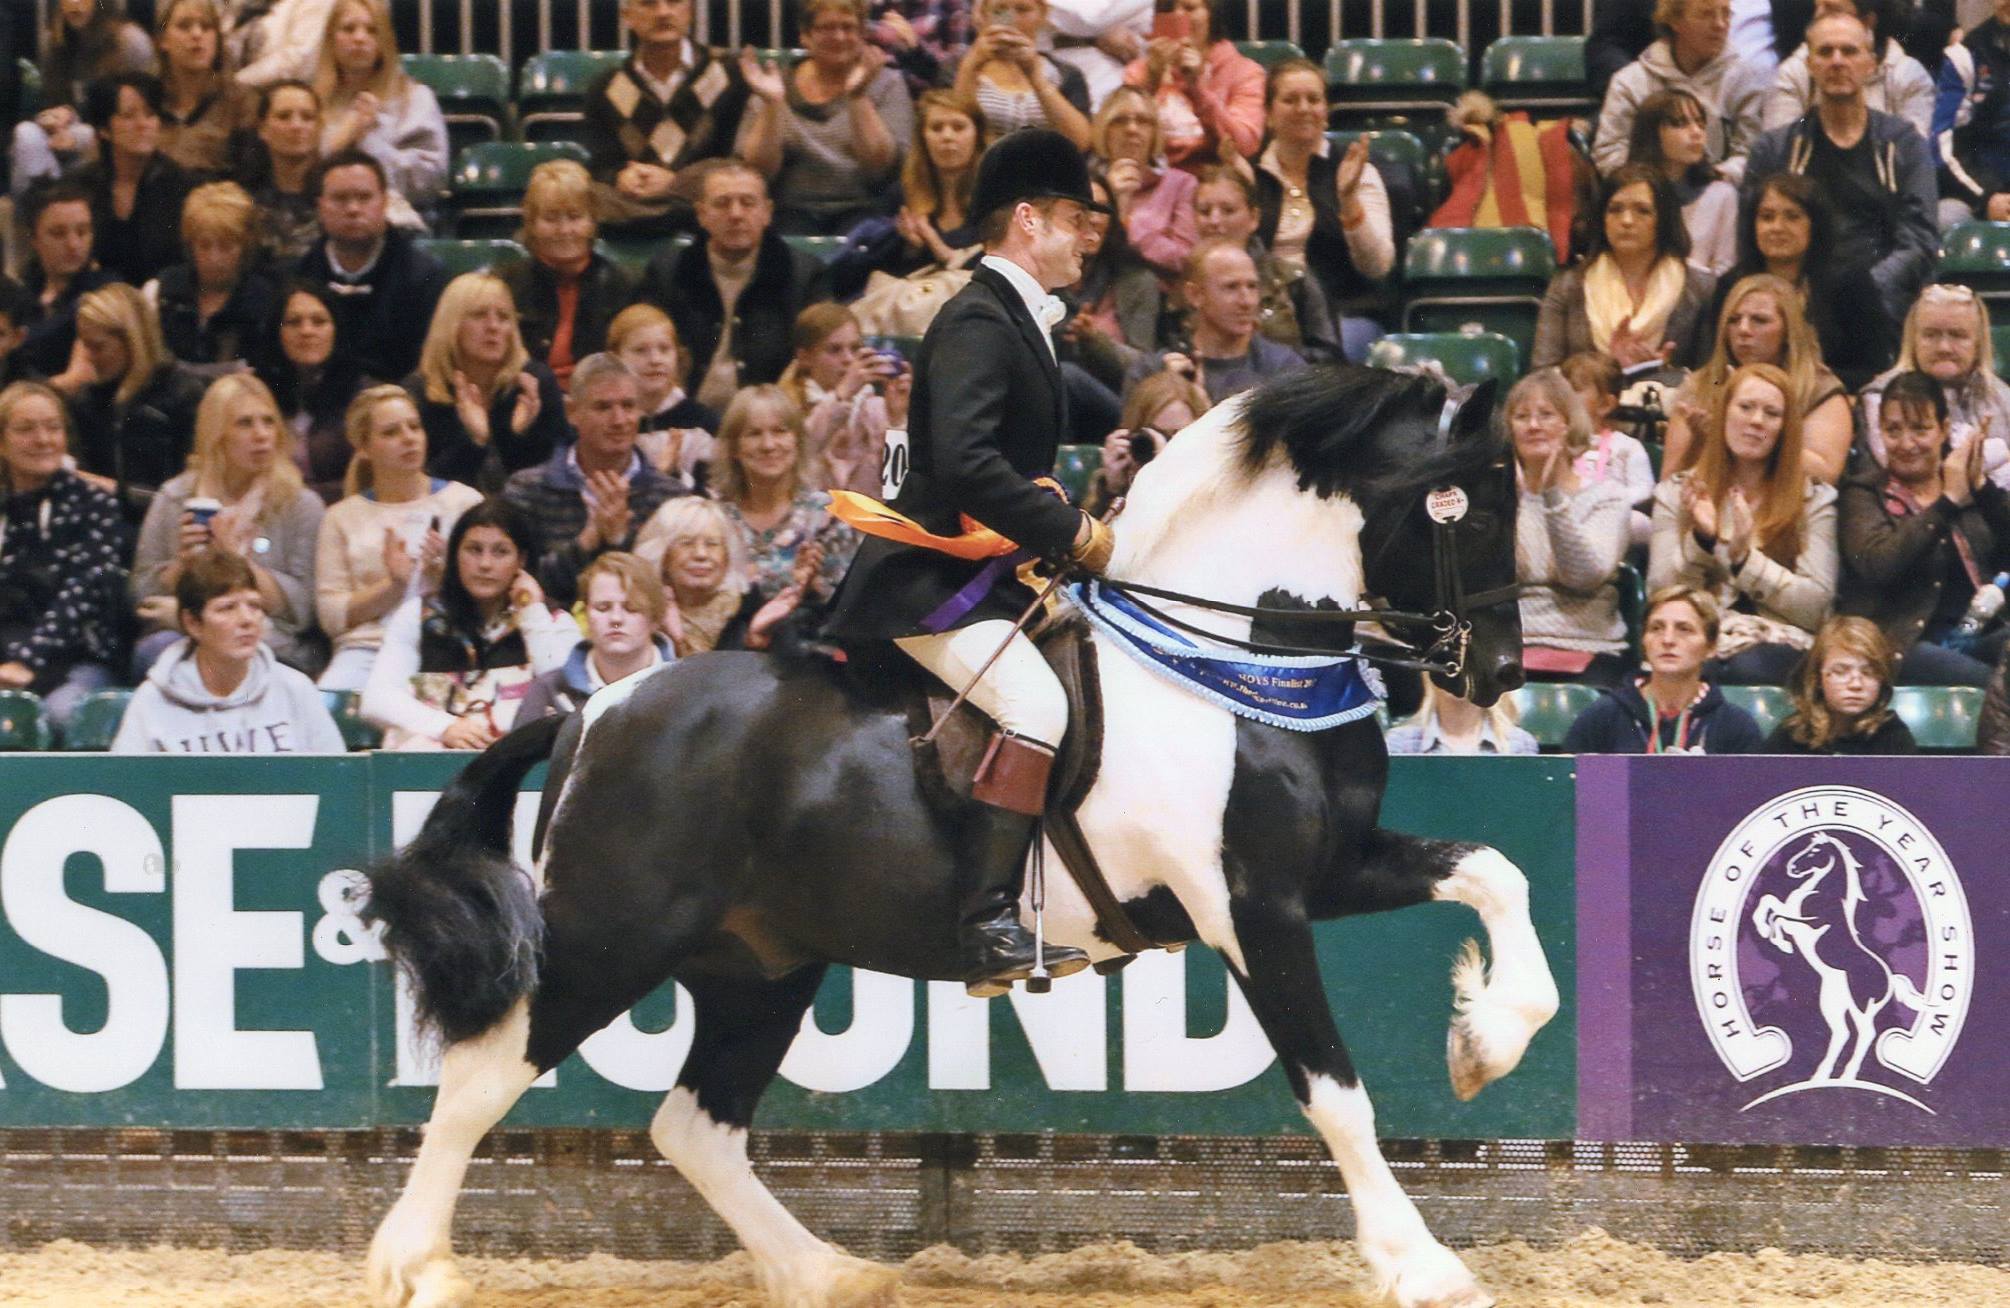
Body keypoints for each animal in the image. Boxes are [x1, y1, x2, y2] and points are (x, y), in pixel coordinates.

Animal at [360, 364, 1559, 1308]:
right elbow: (1336, 1094)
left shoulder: (1329, 869)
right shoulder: (1249, 907)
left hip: (762, 964)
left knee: (695, 1126)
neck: (1228, 666)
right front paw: (1421, 1264)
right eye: (1473, 509)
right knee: (483, 1075)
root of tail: (590, 712)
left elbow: (1497, 878)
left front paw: (1483, 1041)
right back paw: (415, 1267)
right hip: (614, 933)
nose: (1503, 673)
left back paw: (831, 1274)